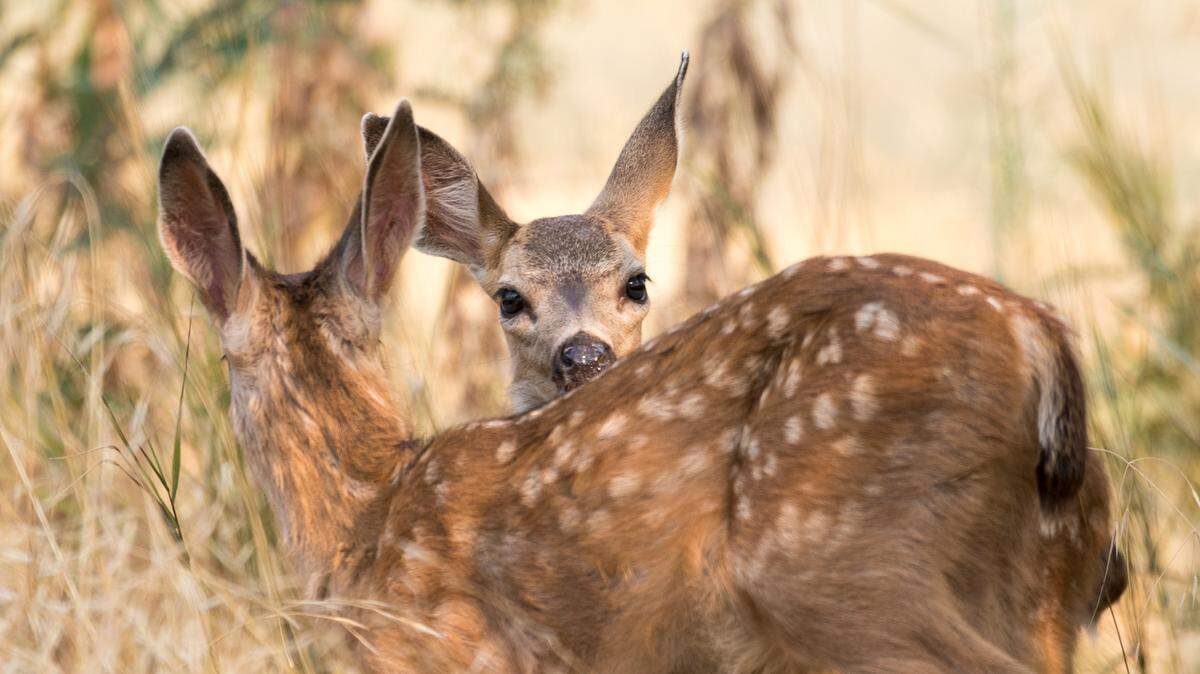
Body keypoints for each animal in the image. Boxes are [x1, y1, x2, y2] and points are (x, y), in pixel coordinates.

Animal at [158, 96, 1124, 672]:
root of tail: (1041, 337)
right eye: (508, 298)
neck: (364, 514)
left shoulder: (449, 650)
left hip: (847, 570)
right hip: (1049, 578)